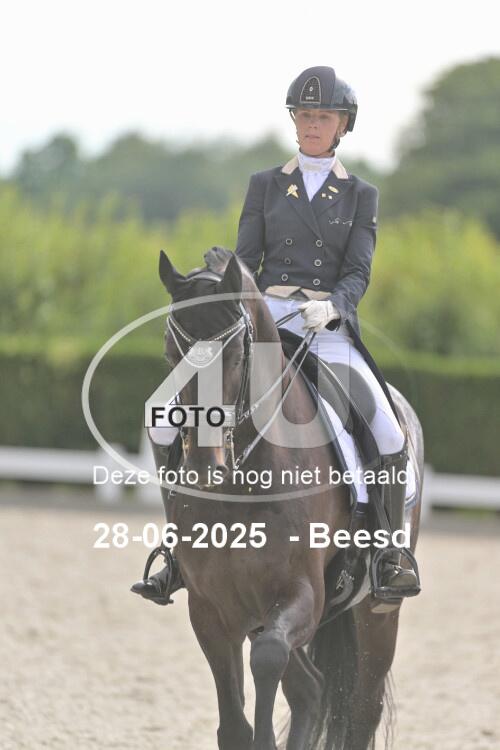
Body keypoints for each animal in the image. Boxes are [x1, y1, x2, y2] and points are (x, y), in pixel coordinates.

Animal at [155, 247, 423, 750]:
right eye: (170, 352)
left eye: (236, 355)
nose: (203, 468)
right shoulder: (211, 607)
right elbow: (235, 723)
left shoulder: (301, 592)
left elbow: (267, 658)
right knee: (310, 690)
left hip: (377, 614)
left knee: (361, 705)